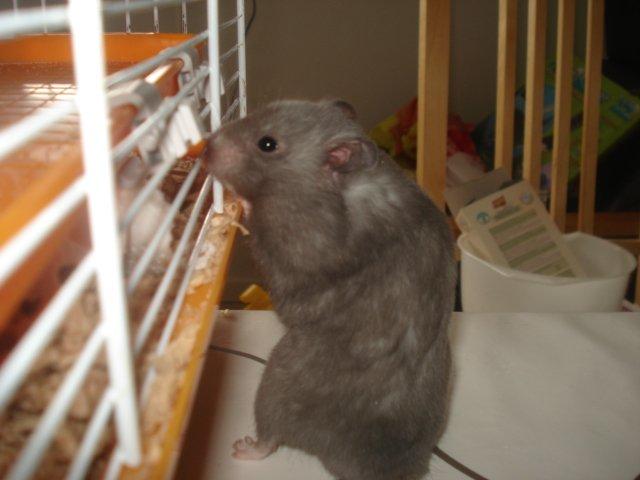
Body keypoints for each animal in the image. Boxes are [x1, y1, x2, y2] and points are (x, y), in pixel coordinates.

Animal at [204, 99, 455, 480]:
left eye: (267, 144)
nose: (204, 149)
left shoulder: (303, 245)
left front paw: (242, 203)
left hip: (275, 385)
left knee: (270, 436)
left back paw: (244, 448)